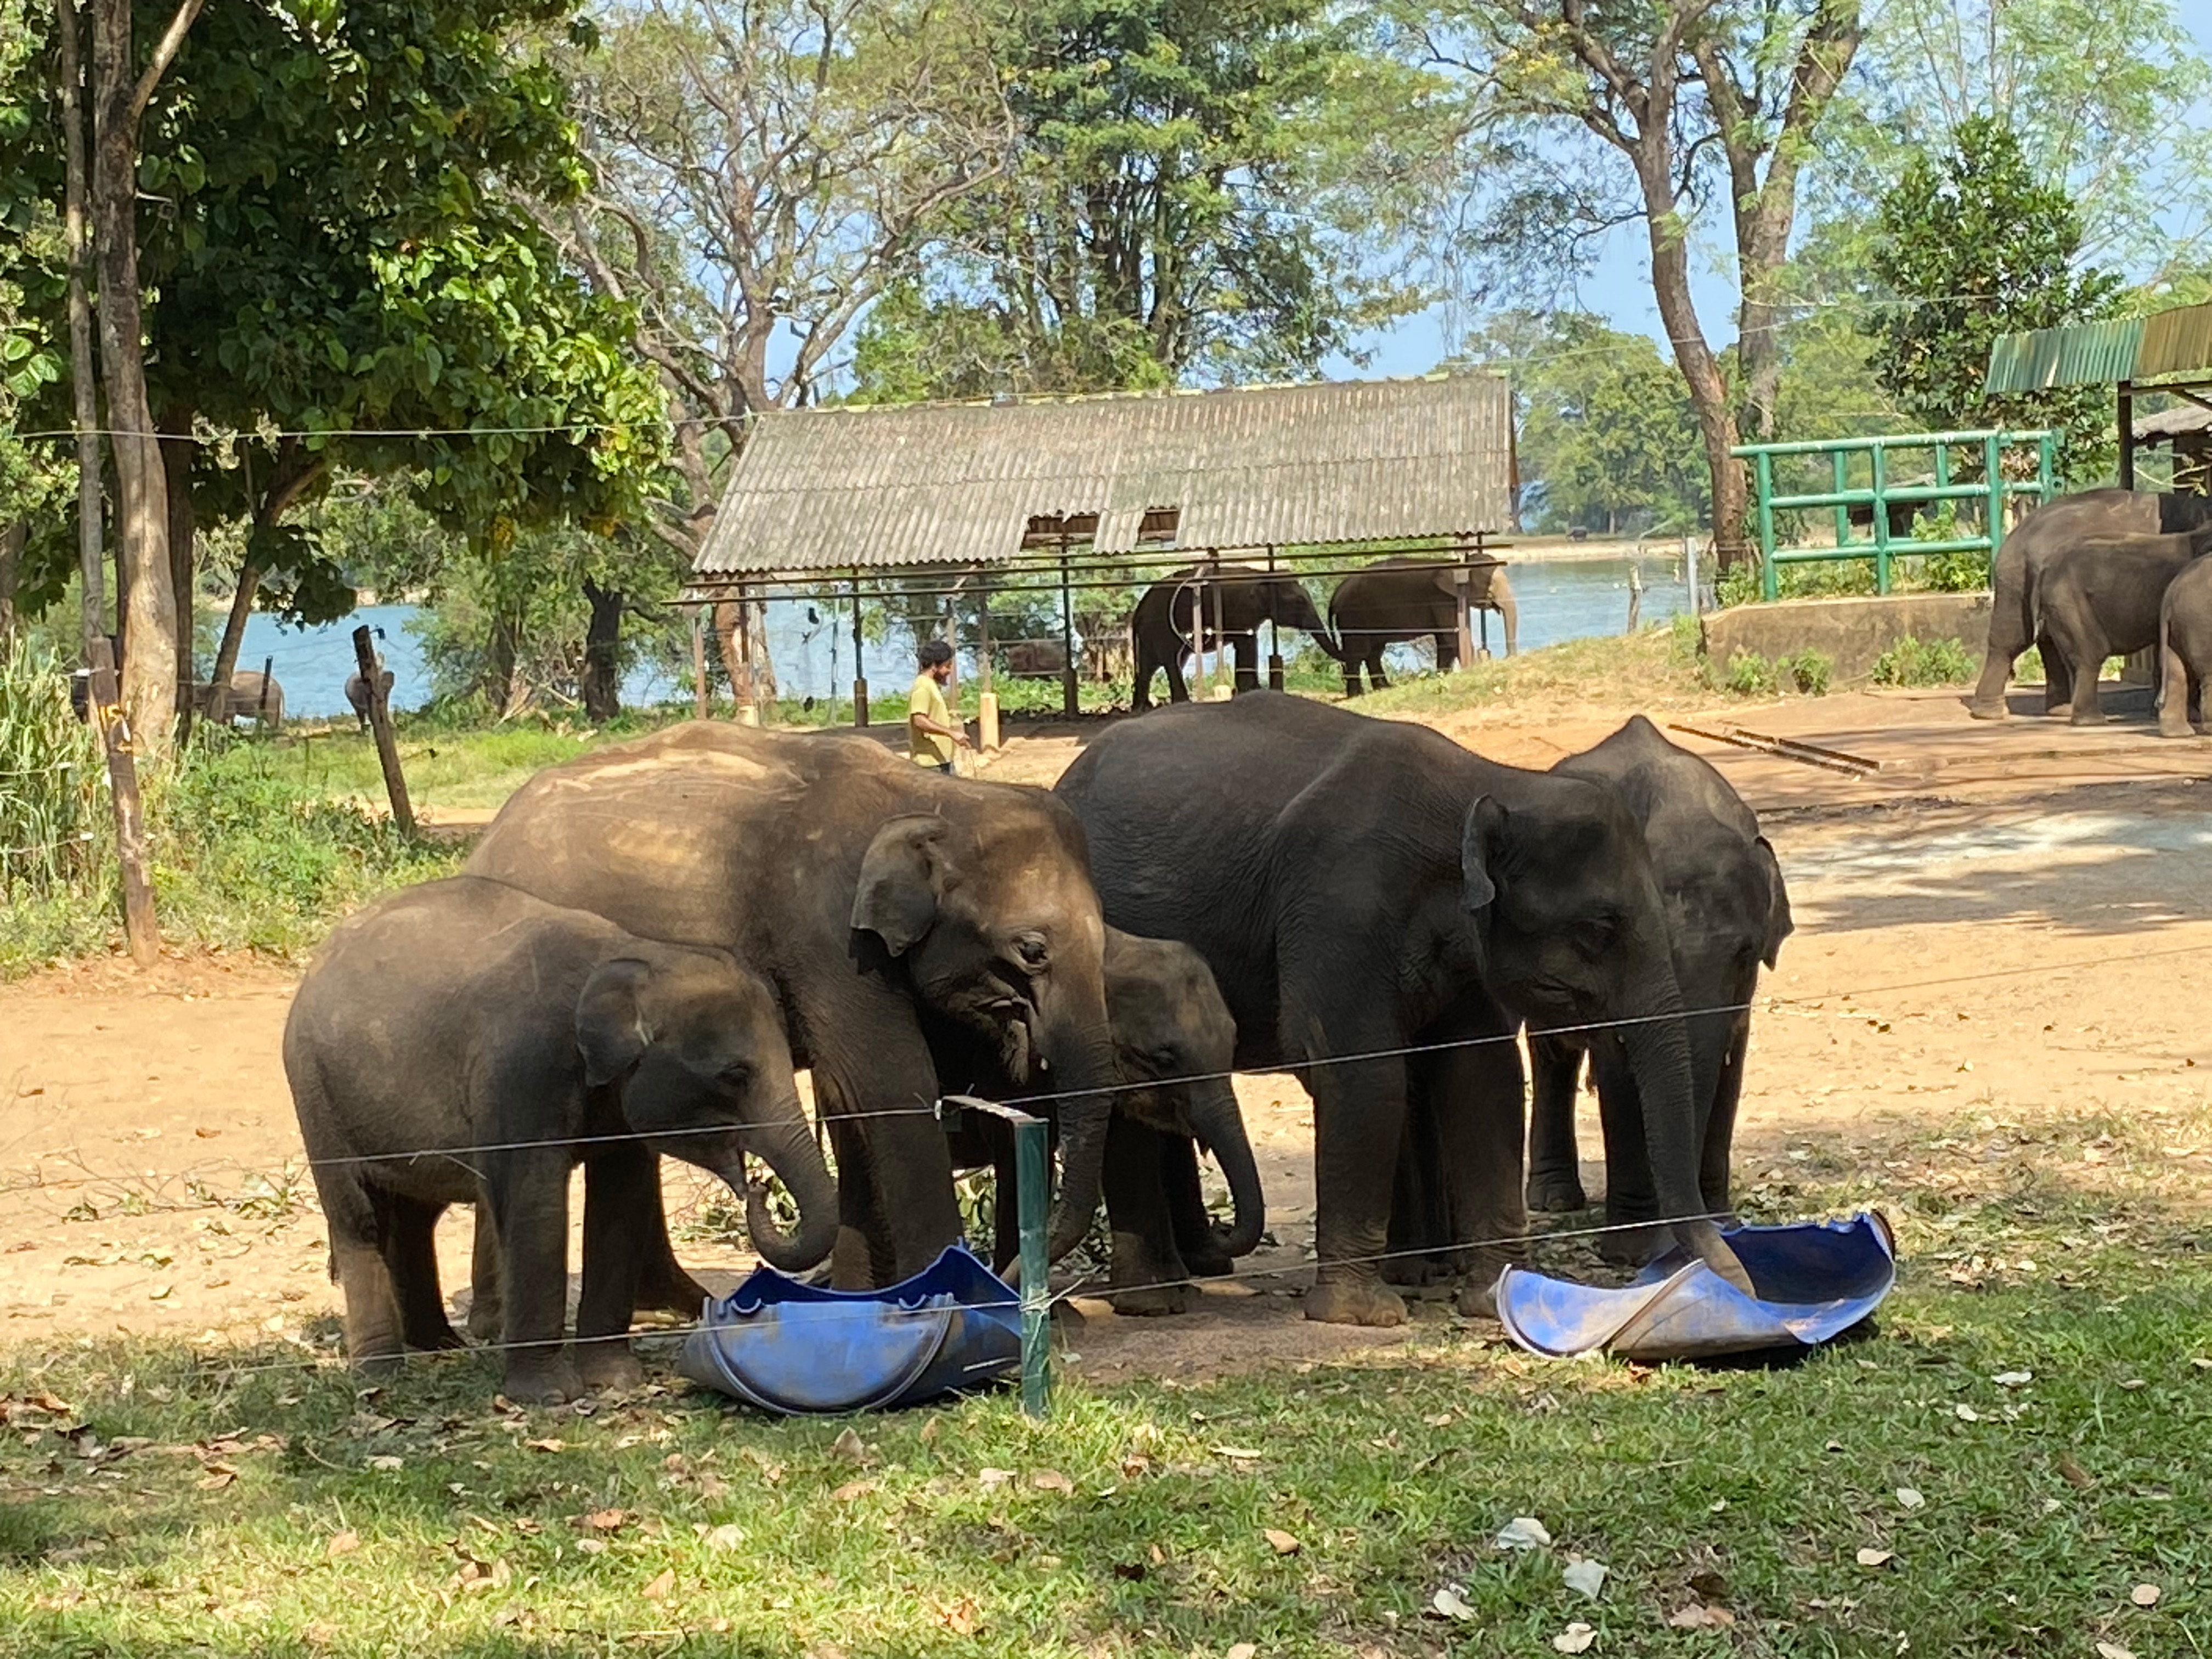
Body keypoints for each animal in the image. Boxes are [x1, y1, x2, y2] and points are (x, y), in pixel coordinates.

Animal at [283, 876, 834, 1403]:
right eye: (734, 1075)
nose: (759, 1187)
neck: (632, 955)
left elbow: (621, 1198)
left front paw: (615, 1380)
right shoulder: (521, 1071)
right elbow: (537, 1202)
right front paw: (549, 1395)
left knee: (417, 1213)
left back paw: (439, 1347)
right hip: (316, 1095)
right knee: (360, 1218)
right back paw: (382, 1374)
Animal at [463, 720, 1123, 1287]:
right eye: (1032, 951)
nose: (1010, 1272)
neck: (933, 799)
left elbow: (845, 1101)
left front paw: (859, 1299)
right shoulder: (829, 938)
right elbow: (886, 1084)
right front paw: (952, 1300)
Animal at [1054, 692, 1751, 1327]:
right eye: (1599, 928)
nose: (1741, 1282)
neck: (1486, 782)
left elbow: (1482, 1077)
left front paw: (1490, 1296)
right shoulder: (1339, 905)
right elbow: (1363, 1072)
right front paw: (1363, 1314)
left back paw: (1200, 1268)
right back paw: (1159, 1298)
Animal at [1128, 565, 1338, 712]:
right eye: (1300, 602)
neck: (1262, 573)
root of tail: (1137, 612)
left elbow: (1249, 641)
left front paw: (1252, 689)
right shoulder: (1241, 609)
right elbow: (1246, 643)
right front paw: (1250, 690)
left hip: (1150, 634)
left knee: (1152, 666)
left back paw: (1141, 708)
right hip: (1160, 627)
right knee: (1170, 661)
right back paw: (1180, 702)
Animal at [1328, 555, 1518, 696]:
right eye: (1490, 583)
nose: (1506, 658)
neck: (1457, 564)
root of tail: (1337, 593)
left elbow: (1445, 641)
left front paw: (1443, 675)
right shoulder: (1441, 599)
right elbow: (1452, 636)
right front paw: (1473, 669)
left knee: (1373, 652)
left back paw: (1383, 689)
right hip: (1353, 615)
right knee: (1358, 653)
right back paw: (1358, 695)